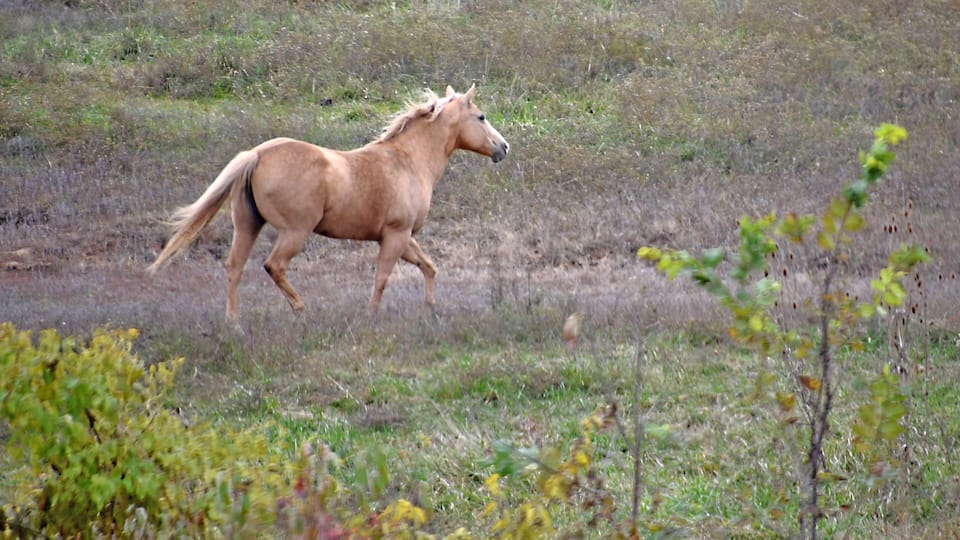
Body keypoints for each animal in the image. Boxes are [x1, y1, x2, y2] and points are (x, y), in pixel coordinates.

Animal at [147, 85, 509, 323]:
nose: (503, 147)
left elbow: (429, 266)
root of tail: (258, 154)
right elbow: (382, 277)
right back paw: (300, 310)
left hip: (248, 226)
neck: (408, 160)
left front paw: (430, 308)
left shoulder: (404, 237)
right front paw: (371, 315)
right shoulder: (396, 234)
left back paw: (233, 322)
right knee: (274, 265)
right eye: (481, 116)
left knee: (233, 268)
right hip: (295, 232)